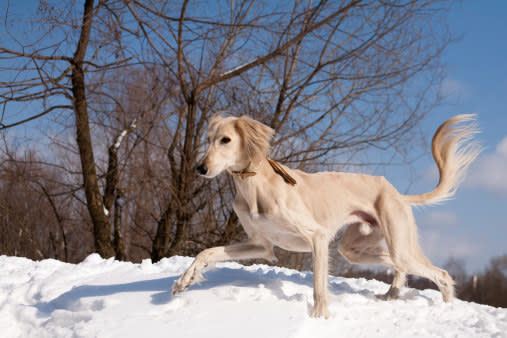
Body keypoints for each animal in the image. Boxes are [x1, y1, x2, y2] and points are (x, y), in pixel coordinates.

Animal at [173, 115, 482, 318]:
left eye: (226, 140)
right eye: (208, 140)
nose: (200, 168)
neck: (255, 185)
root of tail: (397, 193)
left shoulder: (318, 237)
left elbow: (319, 287)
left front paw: (319, 318)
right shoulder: (261, 245)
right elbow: (207, 253)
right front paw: (184, 280)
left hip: (397, 244)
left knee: (441, 274)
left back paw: (447, 308)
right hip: (355, 248)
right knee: (399, 266)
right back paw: (393, 293)